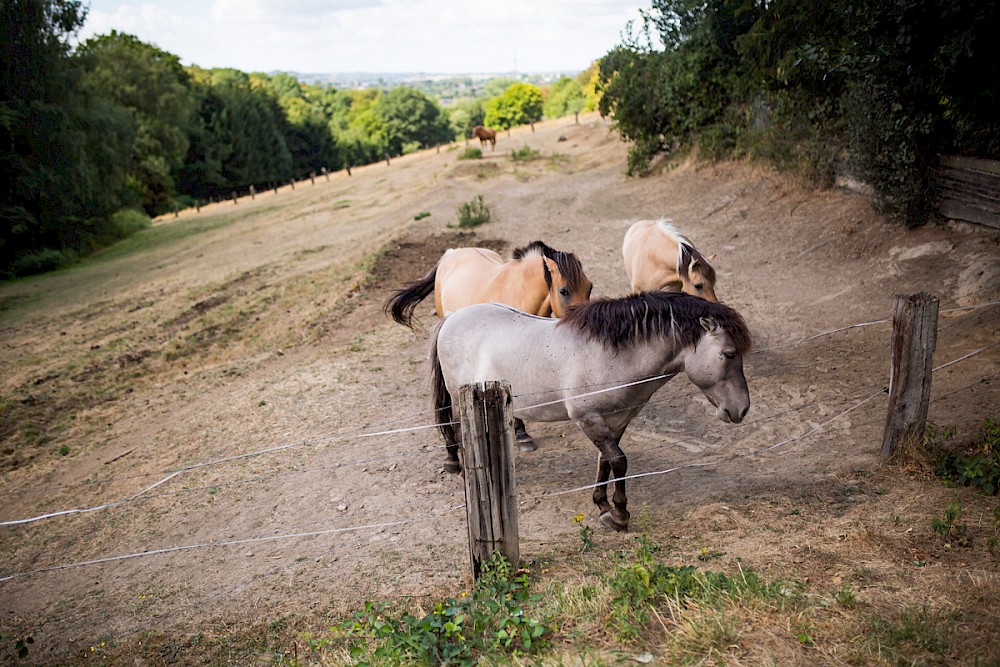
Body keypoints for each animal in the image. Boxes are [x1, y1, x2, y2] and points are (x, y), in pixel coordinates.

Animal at [430, 292, 752, 532]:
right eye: (729, 354)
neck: (611, 356)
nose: (742, 409)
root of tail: (453, 317)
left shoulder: (616, 421)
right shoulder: (588, 419)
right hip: (459, 400)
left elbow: (605, 461)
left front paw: (603, 505)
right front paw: (620, 515)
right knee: (458, 429)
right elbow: (620, 461)